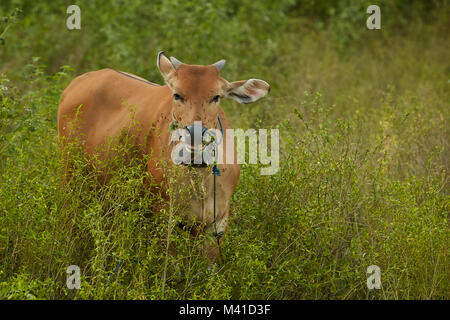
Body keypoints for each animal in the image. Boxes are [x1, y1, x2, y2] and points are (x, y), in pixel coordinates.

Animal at [59, 52, 270, 258]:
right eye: (177, 95)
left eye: (216, 96)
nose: (194, 133)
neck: (199, 182)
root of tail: (77, 82)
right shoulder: (162, 215)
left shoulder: (218, 221)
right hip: (70, 177)